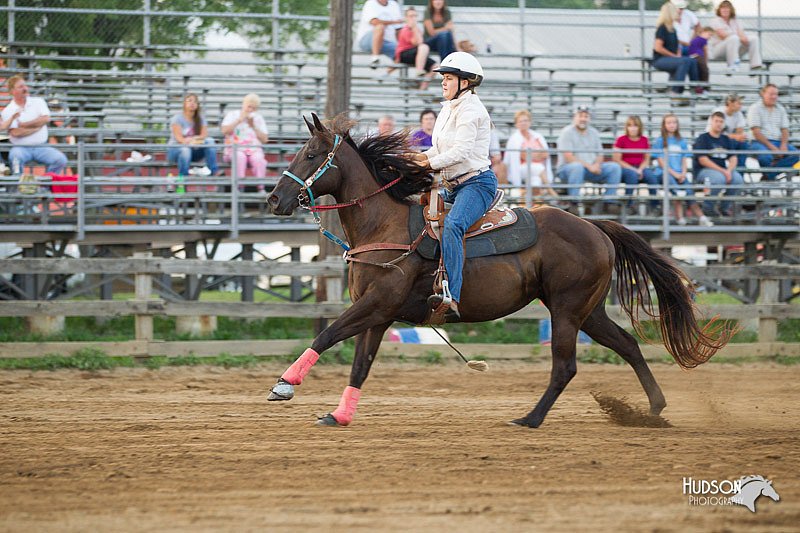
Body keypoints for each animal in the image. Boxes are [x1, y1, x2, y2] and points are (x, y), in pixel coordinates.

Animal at [264, 115, 732, 428]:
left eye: (310, 154)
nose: (273, 199)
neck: (384, 225)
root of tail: (594, 227)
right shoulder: (377, 314)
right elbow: (360, 364)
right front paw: (339, 415)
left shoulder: (377, 305)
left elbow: (326, 335)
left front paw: (284, 385)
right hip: (588, 311)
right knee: (628, 345)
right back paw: (653, 410)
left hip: (566, 310)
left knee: (565, 366)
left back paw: (530, 419)